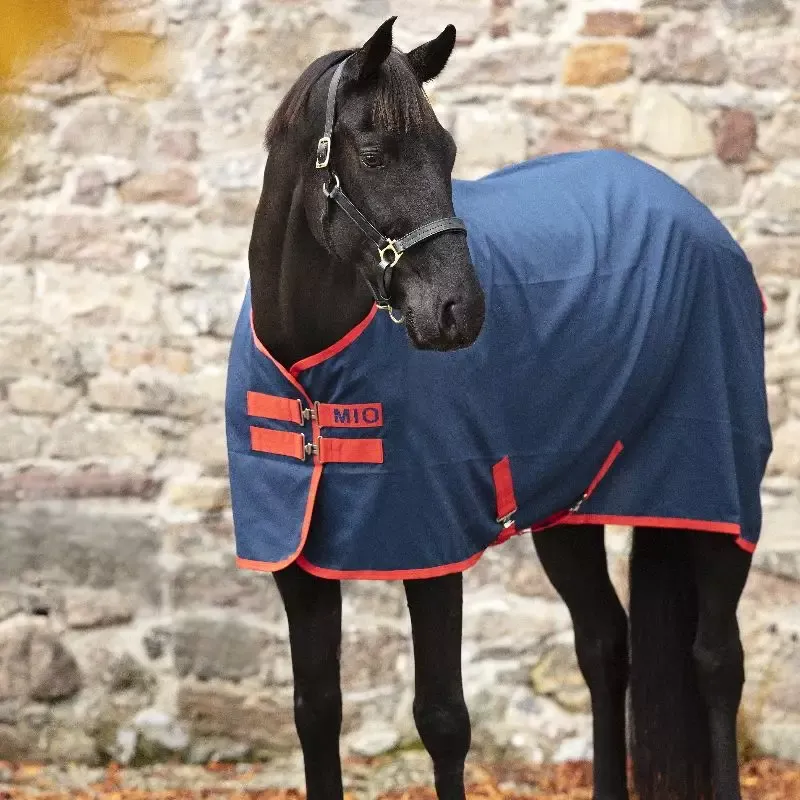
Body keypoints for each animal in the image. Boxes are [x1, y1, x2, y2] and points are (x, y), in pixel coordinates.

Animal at [225, 17, 771, 800]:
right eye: (373, 154)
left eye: (449, 152)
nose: (459, 311)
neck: (311, 373)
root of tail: (701, 222)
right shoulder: (295, 566)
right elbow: (316, 711)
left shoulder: (431, 550)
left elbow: (443, 720)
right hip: (571, 511)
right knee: (604, 645)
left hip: (715, 498)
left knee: (717, 661)